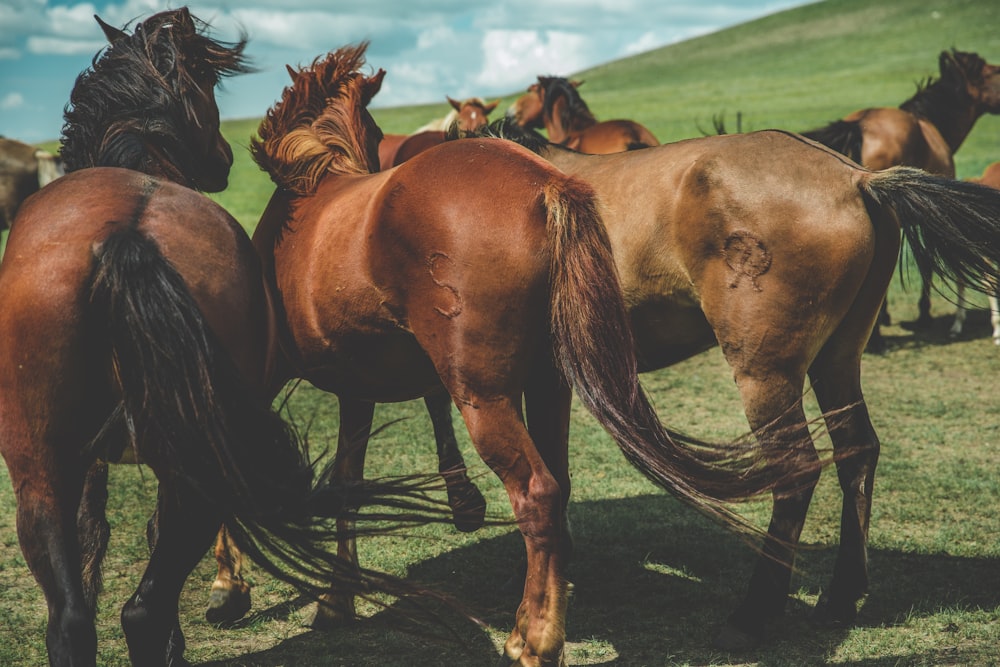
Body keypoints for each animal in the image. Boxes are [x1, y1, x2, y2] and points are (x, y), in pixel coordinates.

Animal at [0, 11, 454, 667]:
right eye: (208, 88)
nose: (221, 162)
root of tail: (126, 235)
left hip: (47, 465)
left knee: (80, 619)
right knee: (131, 607)